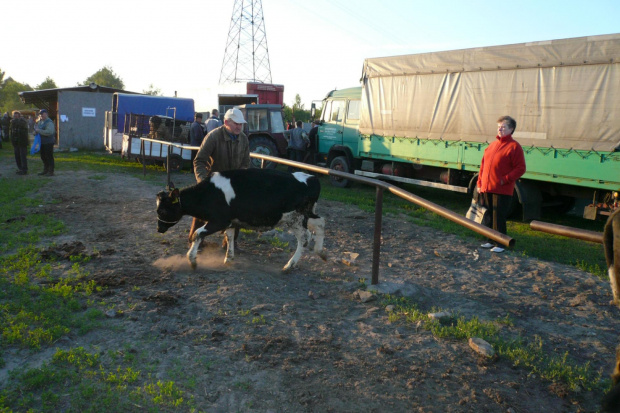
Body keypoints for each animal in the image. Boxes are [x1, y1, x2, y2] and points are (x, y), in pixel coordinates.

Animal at [156, 167, 324, 270]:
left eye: (163, 211)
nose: (159, 229)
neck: (209, 193)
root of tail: (312, 177)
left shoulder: (219, 221)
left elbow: (197, 233)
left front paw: (192, 260)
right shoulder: (230, 222)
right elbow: (229, 236)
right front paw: (228, 258)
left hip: (296, 218)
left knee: (306, 237)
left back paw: (290, 265)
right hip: (304, 217)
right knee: (317, 226)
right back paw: (318, 252)